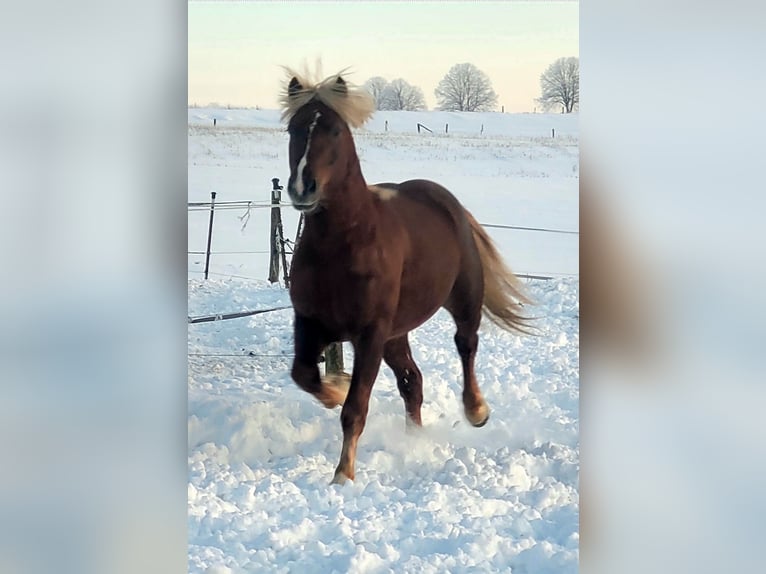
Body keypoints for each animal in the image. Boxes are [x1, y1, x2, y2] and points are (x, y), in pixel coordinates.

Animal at [280, 69, 533, 484]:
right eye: (293, 128)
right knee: (413, 382)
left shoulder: (370, 334)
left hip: (462, 300)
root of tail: (445, 200)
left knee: (466, 345)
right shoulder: (310, 322)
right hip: (396, 335)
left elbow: (355, 408)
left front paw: (343, 475)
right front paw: (336, 388)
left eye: (334, 130)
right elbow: (304, 375)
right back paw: (414, 439)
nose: (303, 187)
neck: (343, 245)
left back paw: (476, 410)